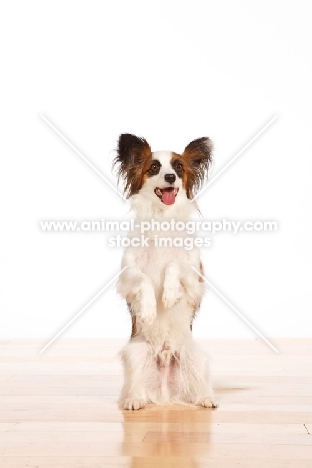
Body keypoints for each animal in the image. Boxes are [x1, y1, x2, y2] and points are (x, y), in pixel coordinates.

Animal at [114, 133, 217, 412]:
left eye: (179, 168)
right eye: (154, 168)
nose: (170, 177)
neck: (162, 218)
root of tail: (164, 395)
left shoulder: (194, 277)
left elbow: (174, 265)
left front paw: (170, 294)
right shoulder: (127, 274)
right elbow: (144, 280)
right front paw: (149, 309)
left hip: (196, 356)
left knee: (198, 385)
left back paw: (205, 398)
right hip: (135, 354)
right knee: (136, 386)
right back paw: (135, 400)